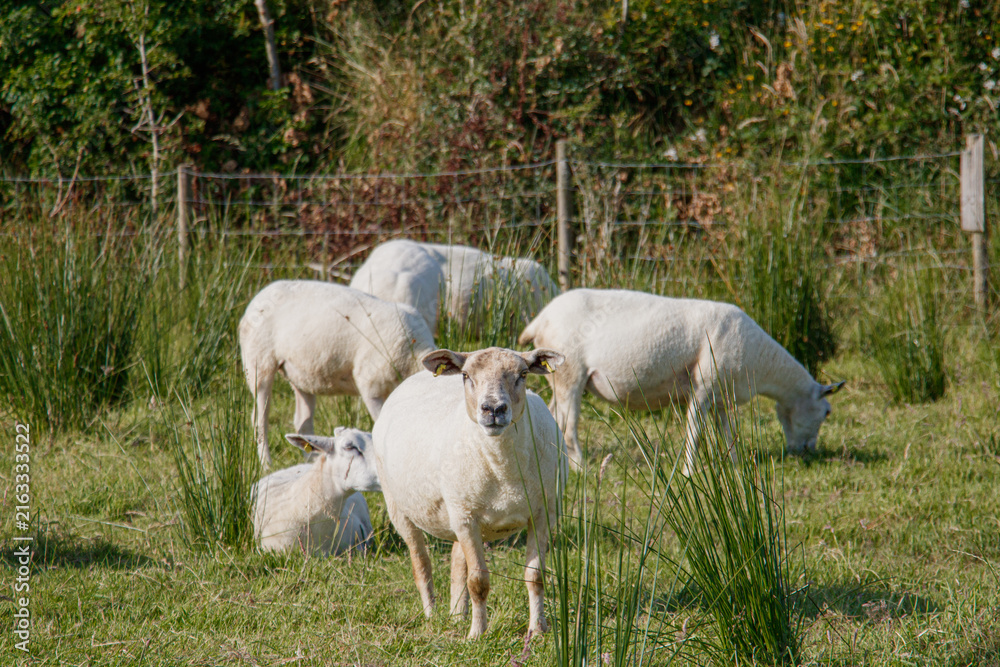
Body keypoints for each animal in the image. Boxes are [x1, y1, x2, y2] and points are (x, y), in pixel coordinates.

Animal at [239, 280, 436, 468]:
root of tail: (259, 297)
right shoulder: (371, 387)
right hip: (258, 362)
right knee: (260, 419)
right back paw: (266, 464)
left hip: (299, 373)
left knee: (302, 421)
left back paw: (311, 461)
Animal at [372, 346, 567, 639]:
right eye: (466, 375)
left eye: (523, 374)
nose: (494, 409)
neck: (503, 470)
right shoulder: (466, 518)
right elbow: (478, 581)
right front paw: (477, 634)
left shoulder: (543, 513)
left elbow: (535, 577)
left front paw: (537, 631)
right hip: (401, 506)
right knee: (421, 563)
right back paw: (432, 614)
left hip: (458, 508)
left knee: (456, 562)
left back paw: (457, 614)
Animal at [517, 288, 844, 473]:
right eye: (827, 412)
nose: (808, 453)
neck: (760, 362)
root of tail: (541, 318)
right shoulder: (703, 387)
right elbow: (695, 431)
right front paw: (688, 470)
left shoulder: (722, 396)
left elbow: (728, 432)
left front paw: (735, 464)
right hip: (571, 372)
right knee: (569, 425)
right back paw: (581, 468)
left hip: (560, 379)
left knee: (553, 416)